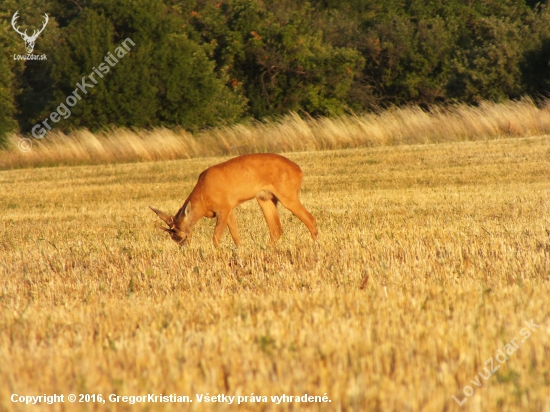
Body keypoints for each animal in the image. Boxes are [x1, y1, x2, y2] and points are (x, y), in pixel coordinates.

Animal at [151, 153, 320, 246]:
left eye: (182, 235)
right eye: (172, 238)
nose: (184, 248)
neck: (203, 198)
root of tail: (299, 170)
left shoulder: (223, 208)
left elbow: (216, 238)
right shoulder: (229, 209)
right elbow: (236, 236)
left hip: (287, 194)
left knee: (310, 219)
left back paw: (316, 247)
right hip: (265, 198)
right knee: (276, 229)